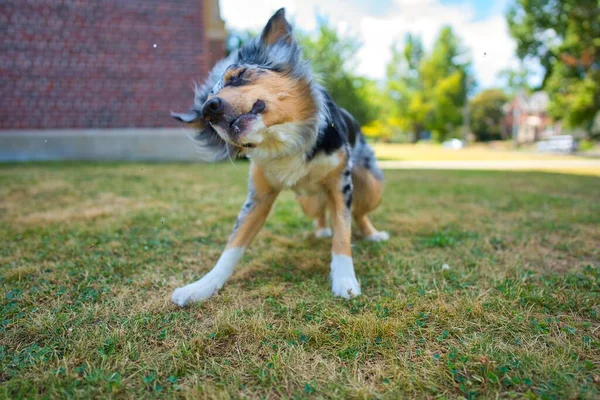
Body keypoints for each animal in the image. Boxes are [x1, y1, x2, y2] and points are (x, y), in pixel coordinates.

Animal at [169, 7, 386, 306]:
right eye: (204, 113)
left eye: (238, 76)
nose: (208, 109)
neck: (282, 140)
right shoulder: (258, 197)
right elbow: (232, 246)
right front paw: (202, 286)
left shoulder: (340, 185)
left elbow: (343, 232)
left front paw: (345, 281)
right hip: (308, 202)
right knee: (322, 212)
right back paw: (322, 228)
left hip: (372, 187)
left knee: (359, 214)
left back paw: (373, 234)